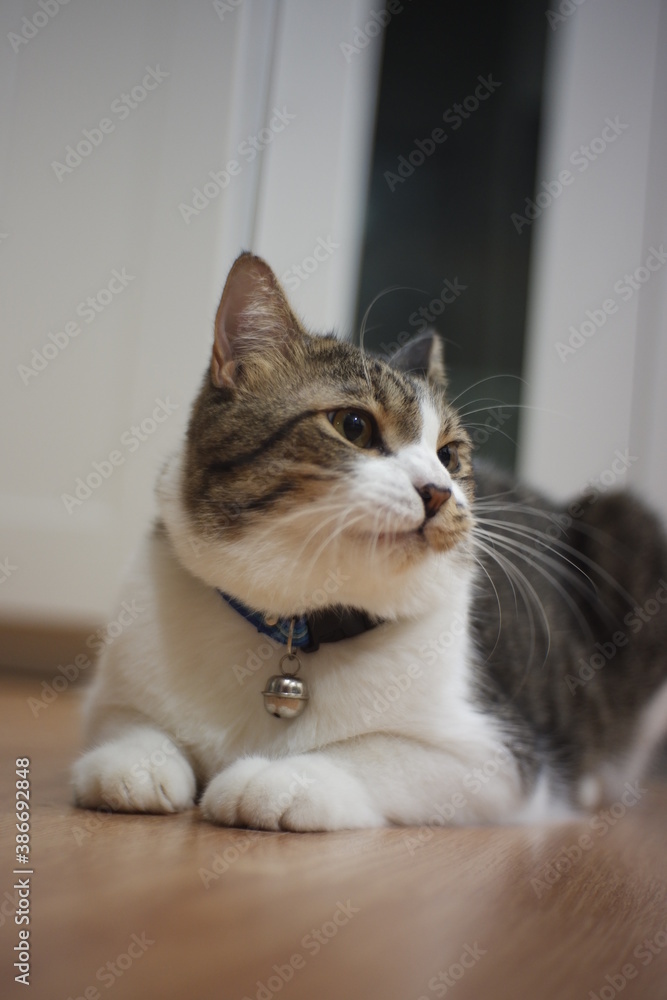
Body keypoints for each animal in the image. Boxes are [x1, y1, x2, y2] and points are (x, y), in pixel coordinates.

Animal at [70, 254, 667, 832]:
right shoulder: (114, 692)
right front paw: (132, 763)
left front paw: (277, 779)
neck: (297, 623)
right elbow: (128, 723)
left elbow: (370, 752)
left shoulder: (497, 757)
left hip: (630, 524)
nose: (438, 491)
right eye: (353, 425)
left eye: (449, 455)